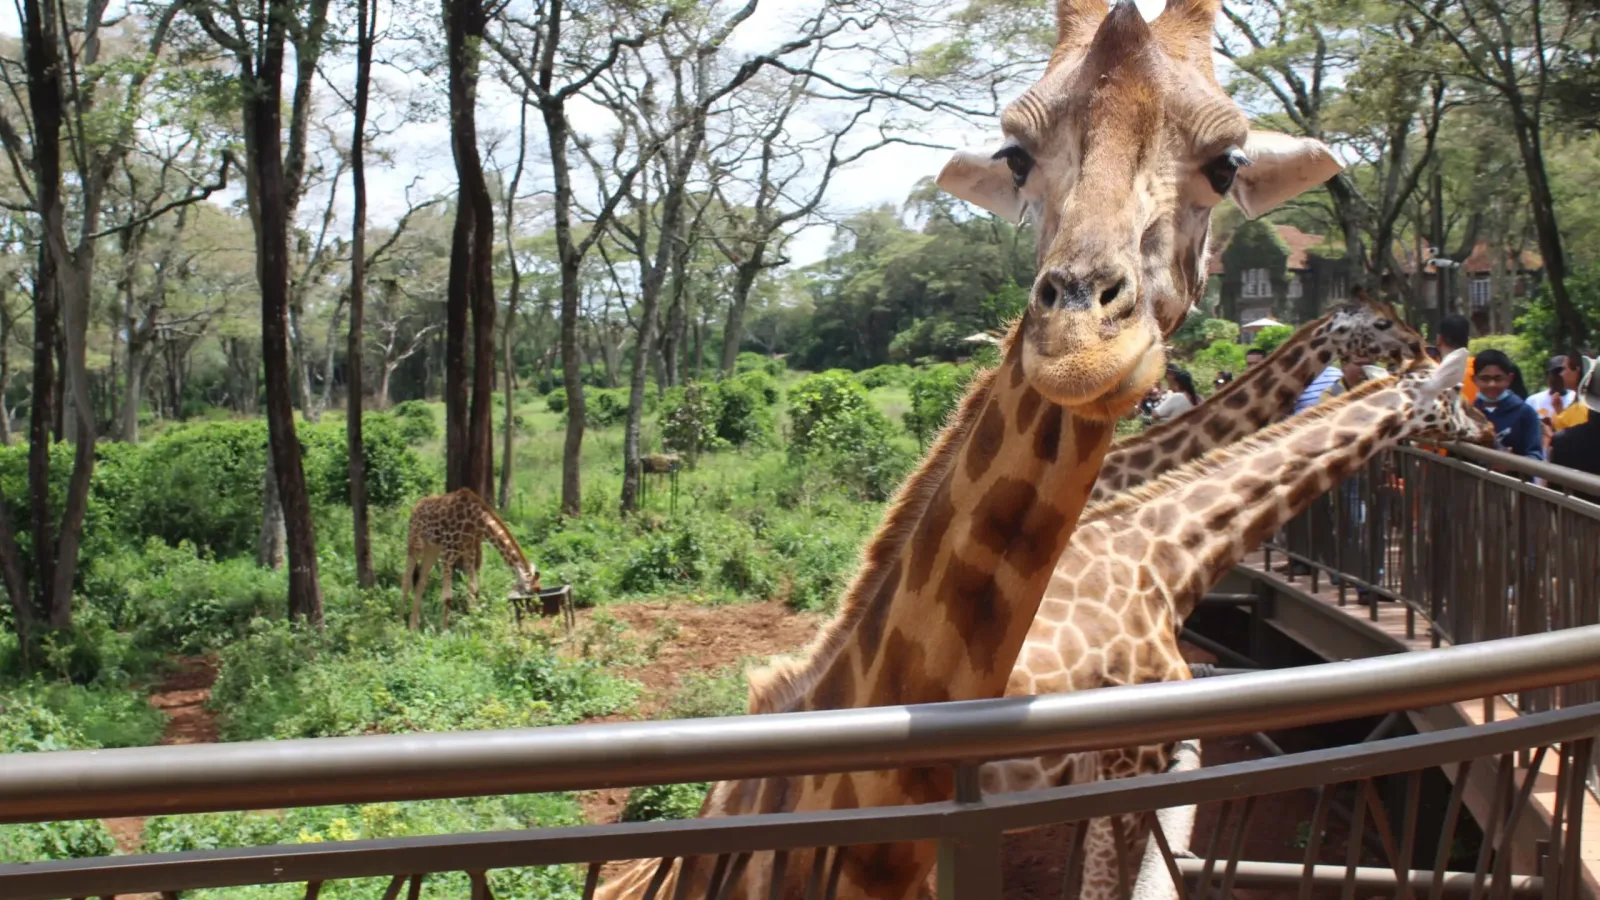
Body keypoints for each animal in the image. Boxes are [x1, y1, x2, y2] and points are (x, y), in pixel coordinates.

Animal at [400, 487, 540, 631]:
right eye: (529, 592)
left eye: (538, 590)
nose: (533, 615)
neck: (475, 520)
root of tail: (415, 507)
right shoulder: (447, 553)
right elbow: (447, 596)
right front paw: (445, 631)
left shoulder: (469, 551)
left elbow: (473, 589)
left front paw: (474, 623)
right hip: (415, 543)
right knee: (406, 581)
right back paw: (399, 623)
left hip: (432, 548)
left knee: (421, 581)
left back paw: (413, 626)